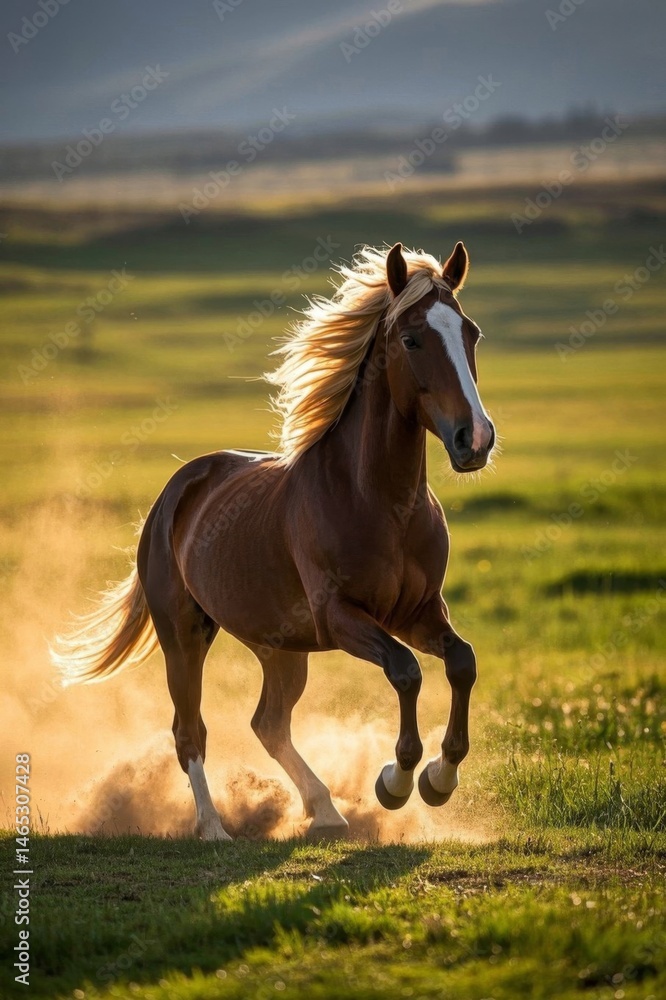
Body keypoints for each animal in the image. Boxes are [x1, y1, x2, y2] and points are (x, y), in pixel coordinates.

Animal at [52, 241, 495, 841]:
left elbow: (462, 663)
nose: (475, 439)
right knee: (189, 729)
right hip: (184, 634)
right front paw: (396, 781)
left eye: (470, 332)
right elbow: (405, 671)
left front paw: (438, 780)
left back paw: (325, 810)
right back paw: (214, 828)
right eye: (411, 339)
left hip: (279, 647)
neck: (379, 502)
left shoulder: (418, 612)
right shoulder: (340, 616)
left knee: (268, 723)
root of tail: (178, 489)